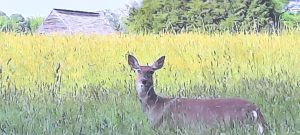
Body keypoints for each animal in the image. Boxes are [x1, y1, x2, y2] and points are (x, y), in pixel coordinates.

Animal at [127, 54, 268, 134]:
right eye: (138, 70)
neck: (156, 105)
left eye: (151, 71)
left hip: (234, 124)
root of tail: (255, 109)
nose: (144, 81)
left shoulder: (164, 126)